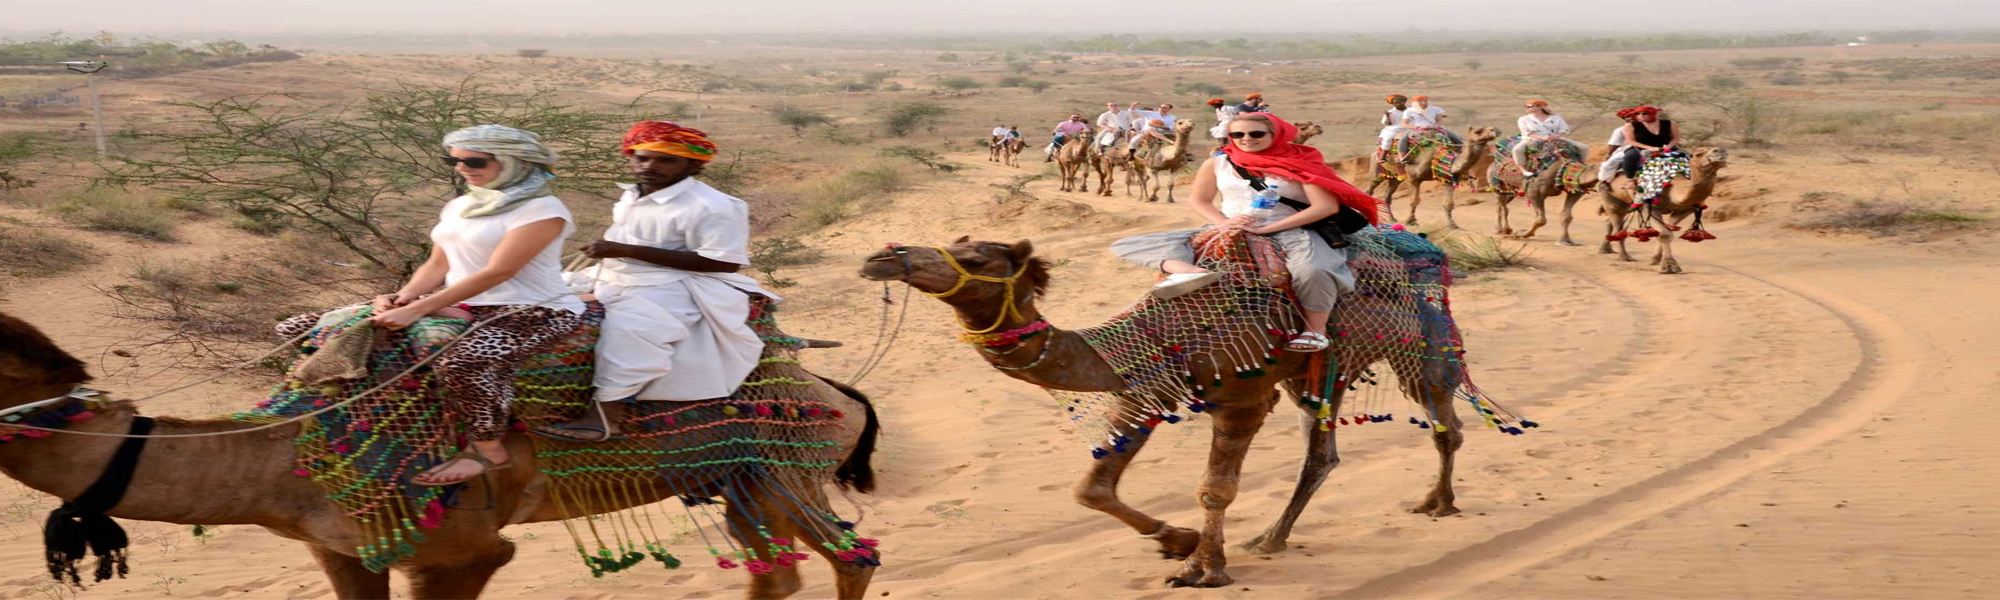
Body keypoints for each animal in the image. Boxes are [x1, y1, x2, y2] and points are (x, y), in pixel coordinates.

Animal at [0, 311, 881, 600]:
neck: (286, 458)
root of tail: (835, 390)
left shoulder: (460, 549)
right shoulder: (339, 549)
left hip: (785, 468)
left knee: (852, 555)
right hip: (739, 482)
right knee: (782, 570)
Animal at [860, 236, 1522, 588]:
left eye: (978, 258)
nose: (882, 256)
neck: (1155, 329)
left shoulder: (1244, 395)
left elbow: (1214, 488)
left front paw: (1203, 568)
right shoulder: (1145, 391)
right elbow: (1091, 489)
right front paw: (1175, 541)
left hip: (1422, 342)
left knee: (1446, 424)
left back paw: (1438, 502)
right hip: (1321, 372)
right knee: (1322, 452)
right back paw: (1273, 537)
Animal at [1360, 127, 1499, 229]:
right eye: (1478, 131)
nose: (1494, 130)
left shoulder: (1448, 178)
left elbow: (1448, 204)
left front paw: (1452, 225)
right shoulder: (1414, 178)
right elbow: (1414, 201)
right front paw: (1411, 221)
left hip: (1396, 177)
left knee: (1387, 195)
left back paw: (1392, 219)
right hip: (1377, 169)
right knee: (1369, 189)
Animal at [1600, 147, 1730, 274]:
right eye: (1698, 154)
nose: (1720, 150)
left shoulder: (1684, 209)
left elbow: (1668, 231)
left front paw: (1655, 259)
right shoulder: (1650, 206)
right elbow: (1664, 233)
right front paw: (1669, 267)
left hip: (1628, 204)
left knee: (1611, 222)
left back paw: (1605, 249)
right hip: (1609, 196)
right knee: (1617, 224)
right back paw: (1624, 256)